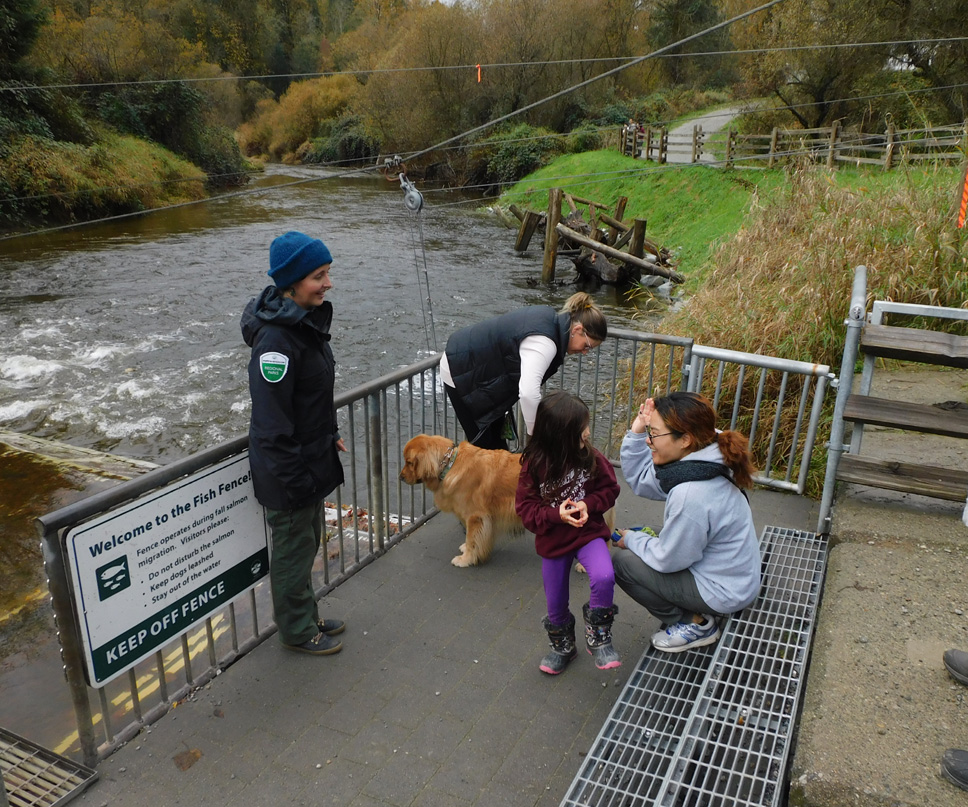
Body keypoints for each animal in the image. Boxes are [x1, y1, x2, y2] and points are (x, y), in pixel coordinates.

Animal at [399, 434, 523, 567]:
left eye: (409, 462)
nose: (400, 477)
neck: (450, 464)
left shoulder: (475, 517)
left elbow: (472, 539)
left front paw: (466, 559)